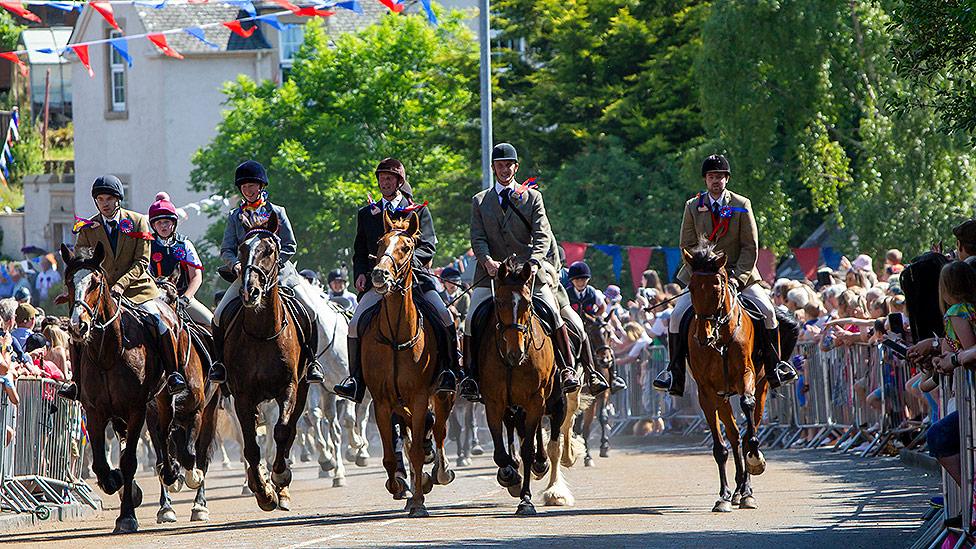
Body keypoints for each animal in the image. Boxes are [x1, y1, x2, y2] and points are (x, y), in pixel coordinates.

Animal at [60, 243, 181, 532]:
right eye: (69, 281)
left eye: (95, 282)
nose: (77, 326)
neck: (108, 353)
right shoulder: (94, 411)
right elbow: (101, 464)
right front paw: (114, 482)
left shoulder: (136, 409)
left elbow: (129, 461)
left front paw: (127, 516)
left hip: (162, 399)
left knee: (164, 434)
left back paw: (170, 472)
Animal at [222, 210, 310, 510]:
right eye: (241, 248)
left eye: (269, 250)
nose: (250, 292)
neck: (262, 333)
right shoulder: (242, 396)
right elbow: (250, 445)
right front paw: (263, 491)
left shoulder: (289, 387)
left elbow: (282, 431)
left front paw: (280, 479)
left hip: (303, 389)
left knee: (289, 430)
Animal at [362, 210, 458, 520]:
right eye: (379, 243)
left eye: (407, 247)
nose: (379, 275)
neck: (396, 336)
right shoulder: (382, 403)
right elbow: (391, 455)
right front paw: (399, 487)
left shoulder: (418, 397)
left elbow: (417, 450)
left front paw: (418, 502)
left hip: (443, 395)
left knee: (438, 432)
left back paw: (439, 472)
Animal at [476, 256, 584, 512]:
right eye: (499, 302)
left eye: (526, 303)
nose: (515, 353)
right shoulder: (496, 403)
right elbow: (502, 452)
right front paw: (510, 476)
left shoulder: (540, 401)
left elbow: (535, 449)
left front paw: (529, 498)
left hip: (557, 401)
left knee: (556, 438)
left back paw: (554, 481)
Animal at [684, 242, 772, 512]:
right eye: (691, 287)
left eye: (718, 286)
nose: (704, 337)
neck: (721, 338)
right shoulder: (707, 392)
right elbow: (720, 447)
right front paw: (723, 496)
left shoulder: (747, 376)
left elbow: (748, 413)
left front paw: (756, 460)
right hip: (722, 398)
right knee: (733, 436)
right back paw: (737, 490)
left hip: (762, 388)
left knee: (748, 428)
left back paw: (747, 491)